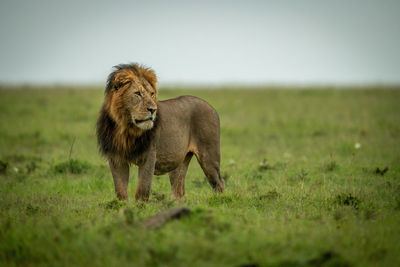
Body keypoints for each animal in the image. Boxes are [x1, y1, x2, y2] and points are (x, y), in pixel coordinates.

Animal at [95, 63, 223, 202]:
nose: (153, 109)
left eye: (152, 94)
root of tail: (211, 107)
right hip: (179, 161)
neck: (126, 129)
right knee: (179, 189)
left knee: (219, 183)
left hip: (209, 157)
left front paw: (140, 206)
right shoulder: (116, 159)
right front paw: (122, 205)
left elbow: (142, 190)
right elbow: (121, 191)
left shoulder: (149, 156)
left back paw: (221, 200)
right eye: (138, 93)